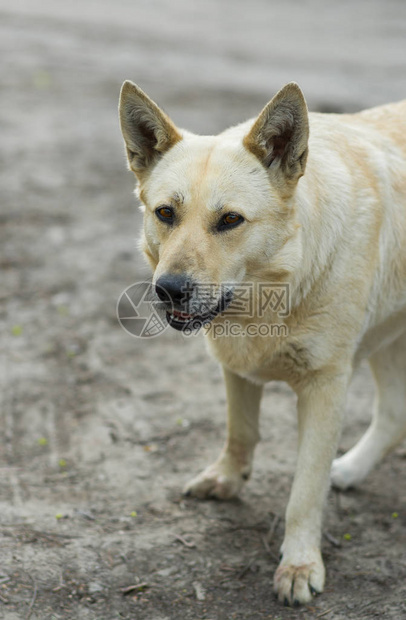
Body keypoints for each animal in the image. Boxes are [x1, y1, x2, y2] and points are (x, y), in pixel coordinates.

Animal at [119, 81, 406, 604]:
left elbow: (305, 491)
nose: (169, 289)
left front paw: (299, 564)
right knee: (395, 412)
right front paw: (228, 479)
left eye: (230, 220)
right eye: (165, 213)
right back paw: (350, 471)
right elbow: (241, 432)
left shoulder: (326, 386)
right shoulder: (234, 365)